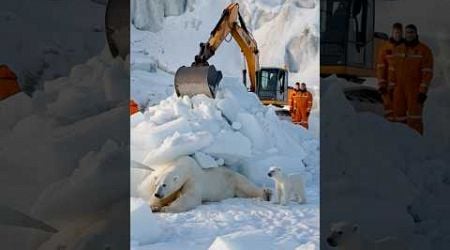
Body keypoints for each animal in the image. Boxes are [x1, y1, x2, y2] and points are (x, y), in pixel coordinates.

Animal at [137, 155, 270, 212]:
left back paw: (266, 193)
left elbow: (191, 198)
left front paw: (166, 208)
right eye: (156, 185)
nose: (157, 194)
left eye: (164, 185)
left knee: (248, 187)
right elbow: (168, 196)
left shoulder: (193, 179)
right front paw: (153, 206)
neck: (185, 166)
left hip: (235, 181)